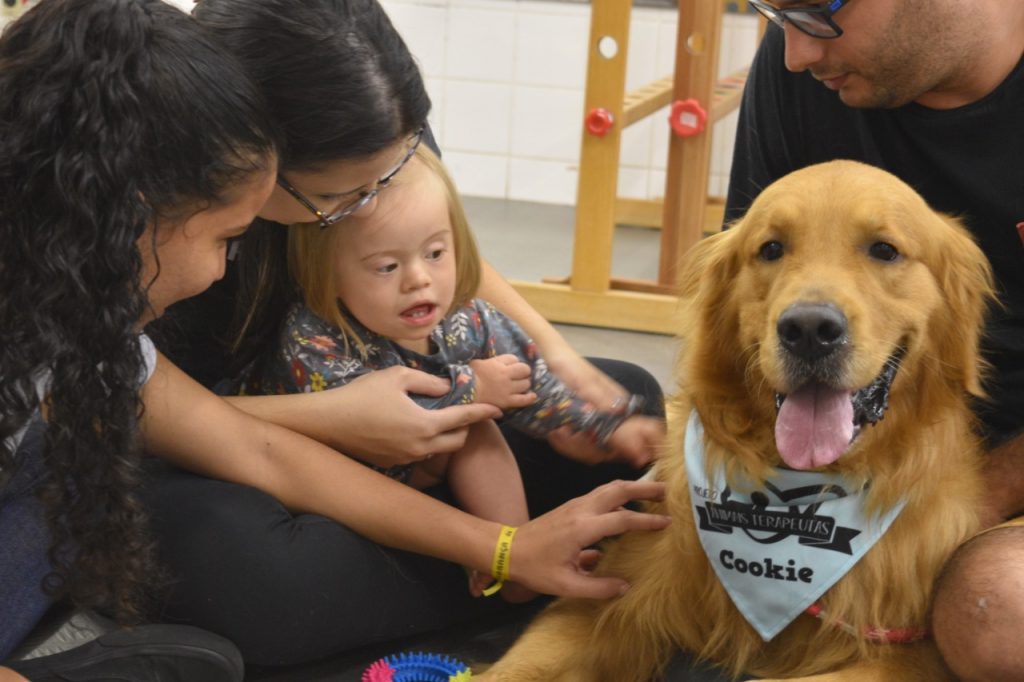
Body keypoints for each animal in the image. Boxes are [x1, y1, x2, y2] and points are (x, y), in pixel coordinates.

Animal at [483, 160, 995, 679]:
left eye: (884, 250)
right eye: (771, 249)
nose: (809, 330)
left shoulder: (910, 651)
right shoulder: (603, 600)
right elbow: (516, 668)